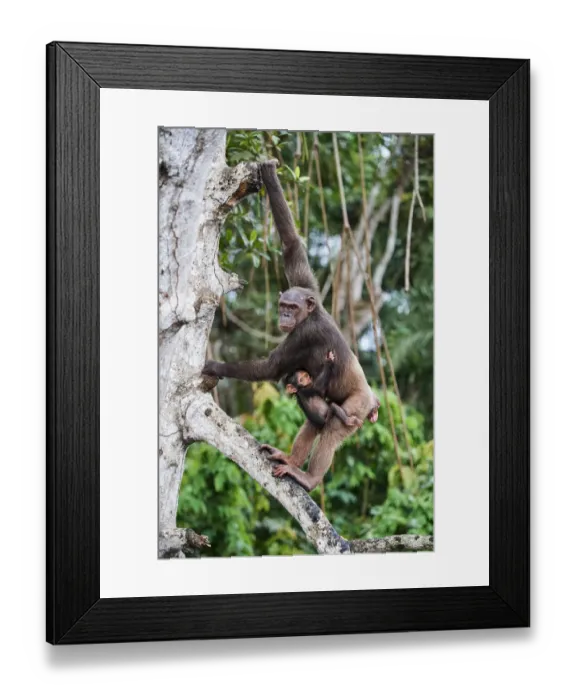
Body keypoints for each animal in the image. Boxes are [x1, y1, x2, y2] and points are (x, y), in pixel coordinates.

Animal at [203, 160, 377, 492]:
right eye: (283, 306)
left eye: (291, 309)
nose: (284, 316)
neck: (309, 314)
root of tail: (373, 403)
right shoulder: (308, 286)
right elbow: (292, 245)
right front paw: (269, 174)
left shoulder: (304, 335)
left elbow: (270, 367)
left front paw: (214, 366)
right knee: (314, 421)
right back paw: (290, 459)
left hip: (357, 407)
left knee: (333, 427)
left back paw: (308, 478)